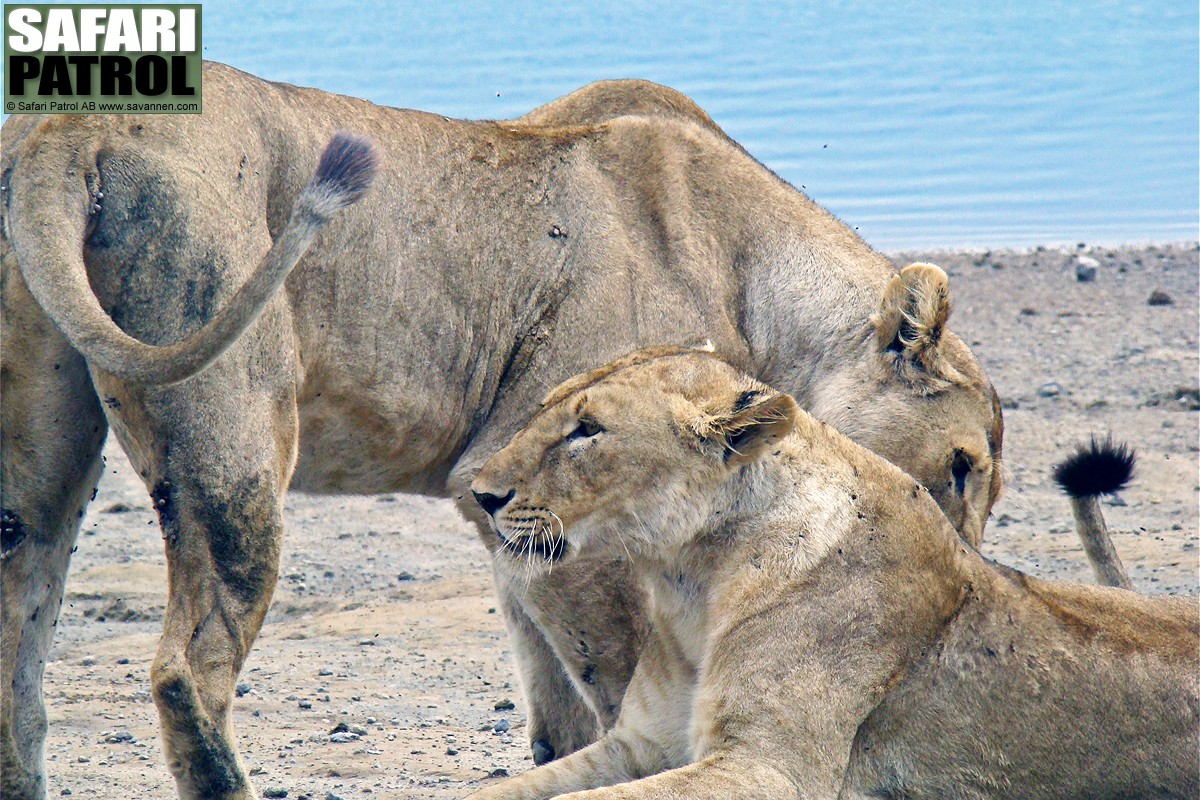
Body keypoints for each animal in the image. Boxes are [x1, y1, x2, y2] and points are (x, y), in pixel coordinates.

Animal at [4, 70, 1003, 800]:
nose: (961, 567)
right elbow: (623, 690)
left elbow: (556, 711)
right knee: (188, 669)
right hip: (232, 419)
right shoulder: (578, 512)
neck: (754, 275)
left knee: (20, 627)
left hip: (39, 448)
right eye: (961, 466)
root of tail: (69, 127)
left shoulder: (508, 512)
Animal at [468, 347, 1200, 800]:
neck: (691, 579)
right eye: (548, 407)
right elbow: (504, 791)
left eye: (587, 429)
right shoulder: (638, 746)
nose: (480, 493)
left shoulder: (771, 767)